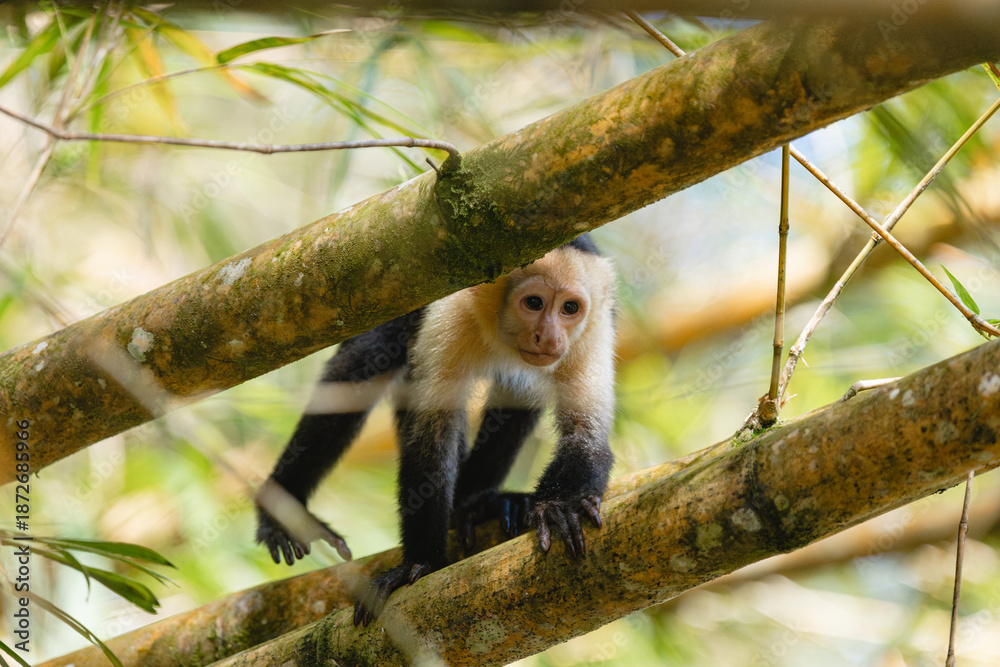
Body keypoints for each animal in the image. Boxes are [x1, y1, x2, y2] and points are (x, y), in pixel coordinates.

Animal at [255, 233, 617, 627]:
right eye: (533, 302)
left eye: (570, 308)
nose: (549, 337)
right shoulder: (452, 310)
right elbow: (432, 437)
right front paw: (422, 562)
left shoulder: (594, 330)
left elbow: (586, 435)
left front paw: (560, 506)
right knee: (366, 361)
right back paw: (281, 508)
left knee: (519, 397)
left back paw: (477, 503)